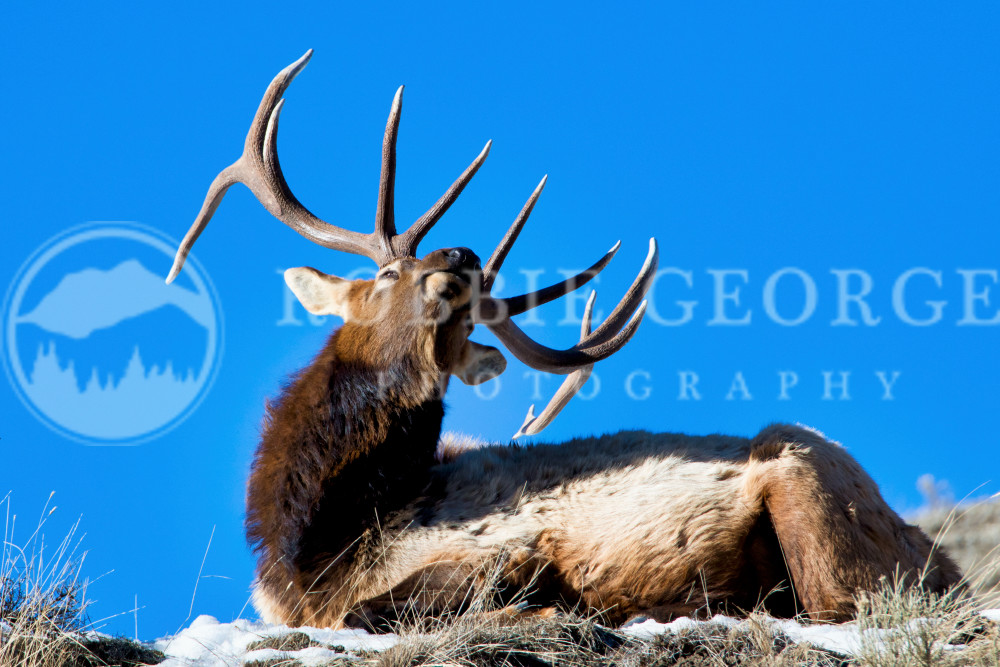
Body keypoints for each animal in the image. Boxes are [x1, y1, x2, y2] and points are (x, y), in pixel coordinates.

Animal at [166, 50, 962, 631]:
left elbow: (384, 608)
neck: (319, 538)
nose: (460, 256)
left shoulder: (497, 548)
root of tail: (942, 559)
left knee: (836, 604)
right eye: (390, 272)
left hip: (805, 485)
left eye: (465, 316)